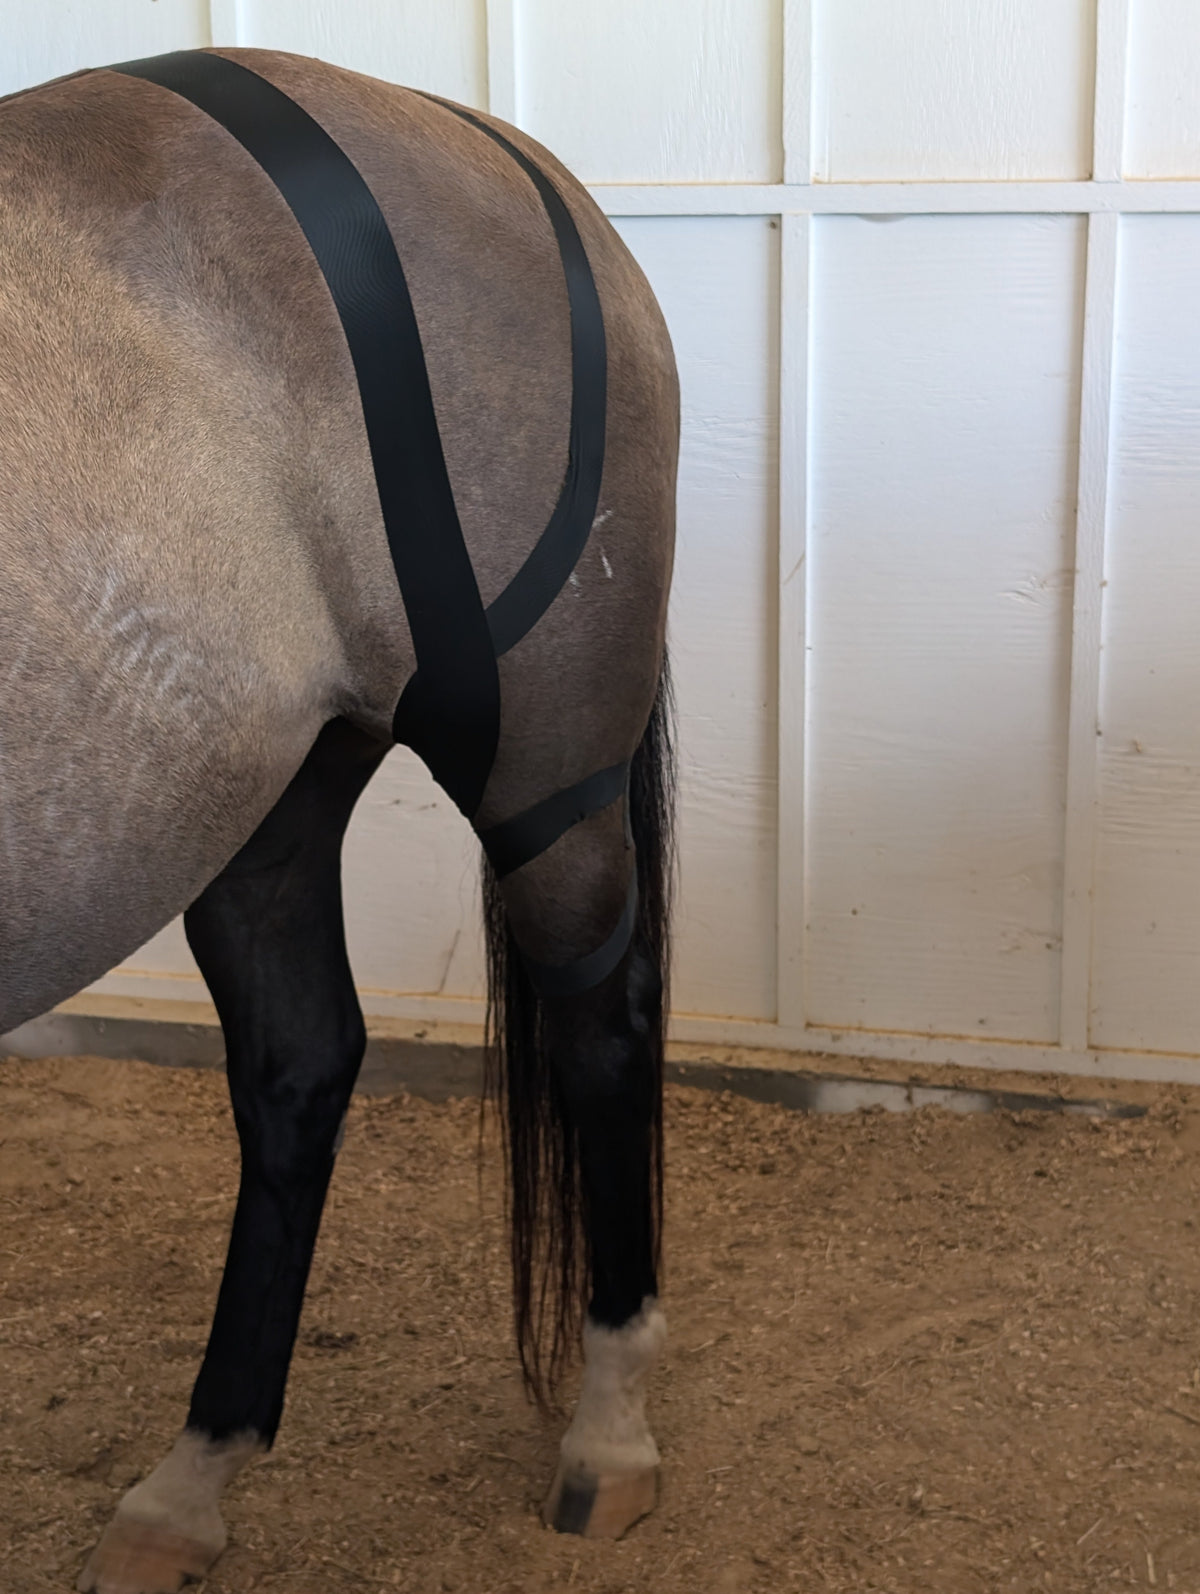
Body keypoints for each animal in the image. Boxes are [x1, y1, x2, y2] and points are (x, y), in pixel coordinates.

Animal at [0, 48, 678, 1594]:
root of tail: (498, 142)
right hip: (272, 798)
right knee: (302, 1066)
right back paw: (193, 1477)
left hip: (547, 778)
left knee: (602, 1036)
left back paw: (610, 1434)